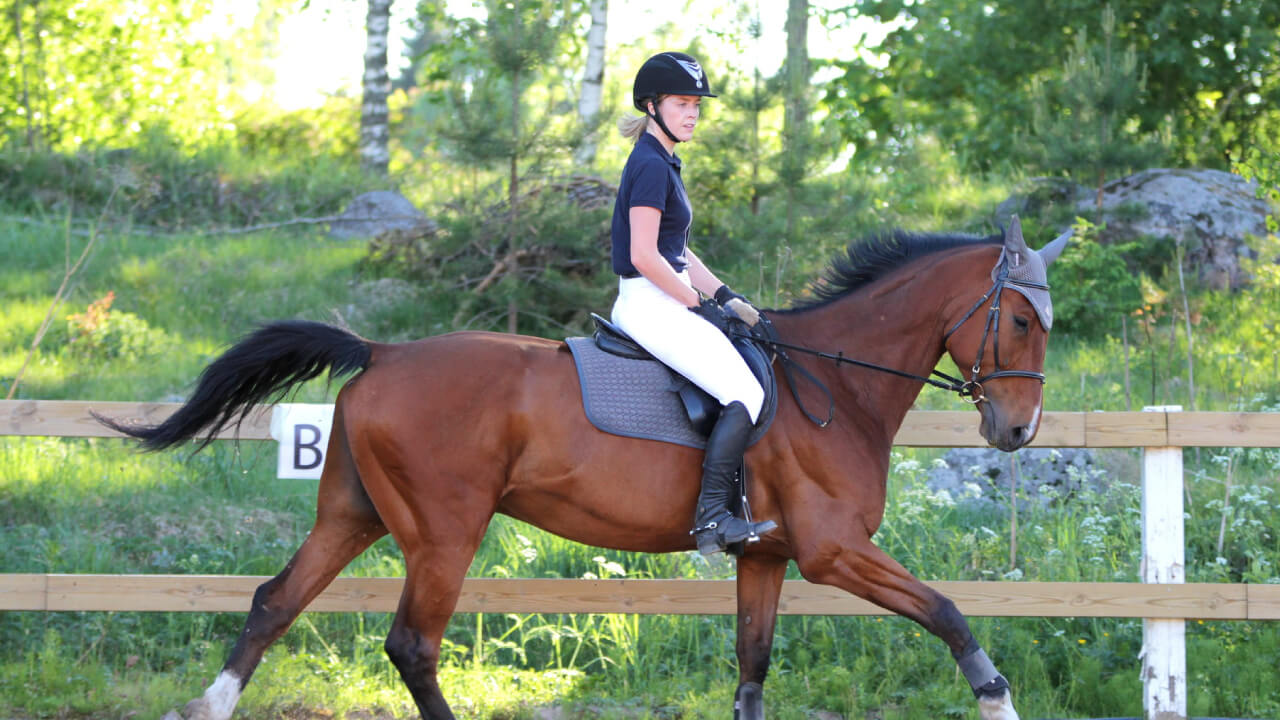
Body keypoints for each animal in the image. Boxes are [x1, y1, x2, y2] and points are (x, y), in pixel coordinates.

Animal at [98, 216, 1069, 720]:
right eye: (1021, 320)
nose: (1017, 430)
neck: (835, 382)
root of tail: (385, 352)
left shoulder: (766, 556)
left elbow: (753, 673)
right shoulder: (832, 552)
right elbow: (948, 613)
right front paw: (998, 701)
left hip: (354, 512)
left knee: (273, 602)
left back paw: (211, 705)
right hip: (445, 530)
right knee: (413, 643)